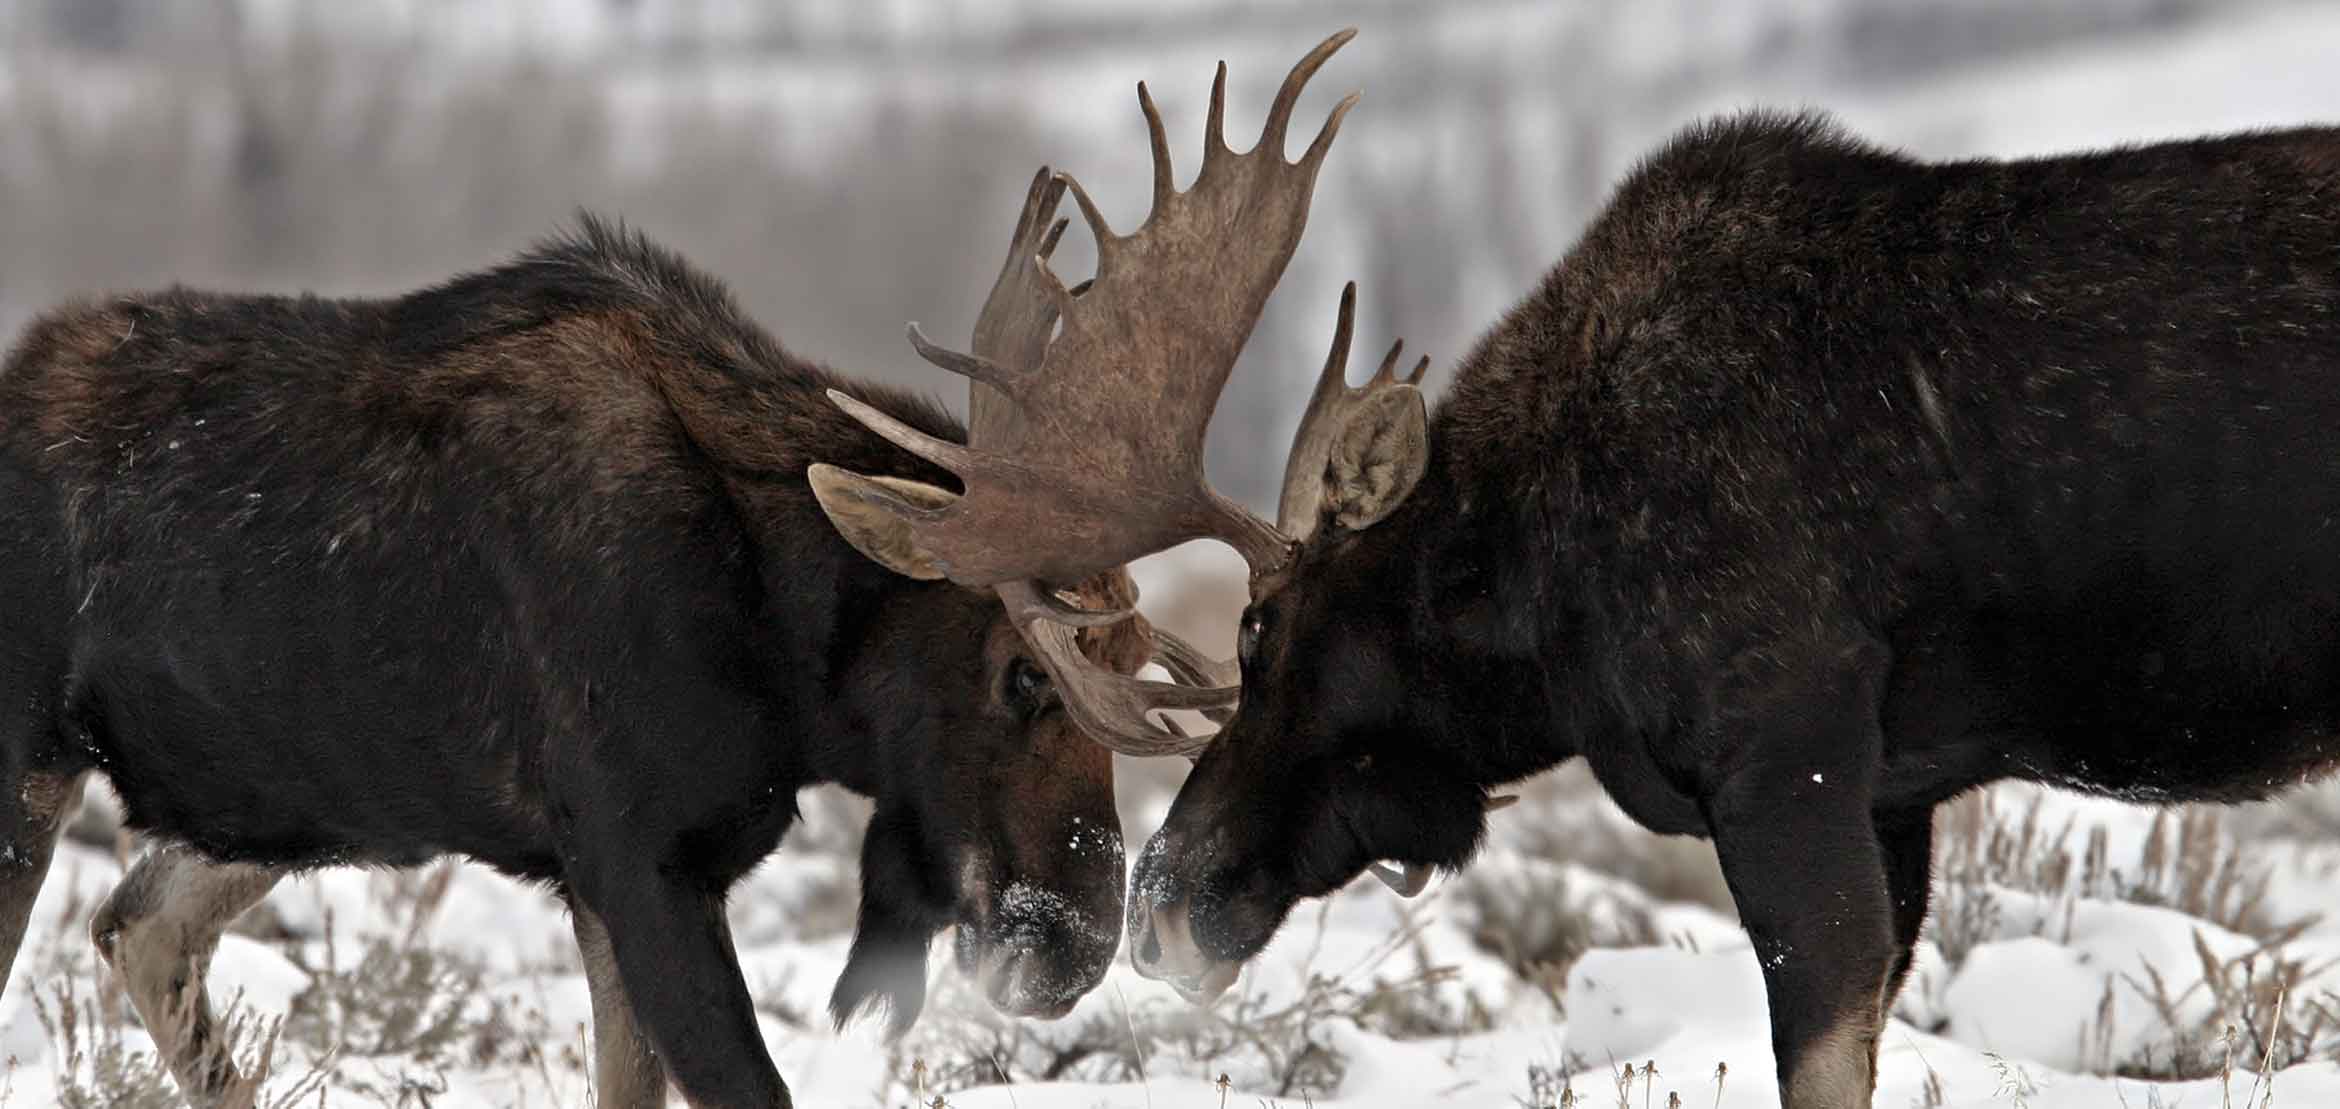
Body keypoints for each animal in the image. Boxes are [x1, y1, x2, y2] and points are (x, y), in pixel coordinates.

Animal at [0, 197, 1229, 1106]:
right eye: (1025, 669)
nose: (1079, 942)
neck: (784, 654)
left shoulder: (612, 877)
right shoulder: (640, 860)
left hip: (297, 797)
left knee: (138, 924)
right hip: (37, 770)